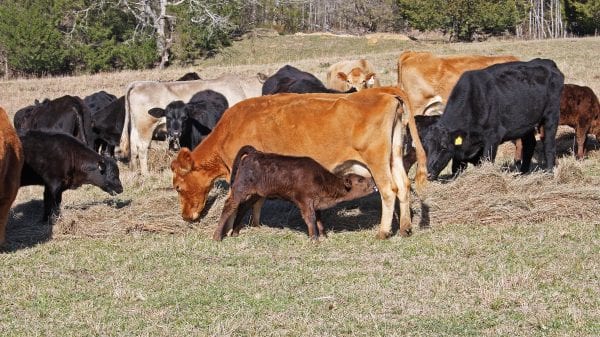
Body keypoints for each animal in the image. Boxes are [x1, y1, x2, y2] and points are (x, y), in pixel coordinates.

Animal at [118, 73, 264, 173]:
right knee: (142, 149)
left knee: (133, 147)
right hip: (146, 128)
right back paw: (146, 174)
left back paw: (135, 171)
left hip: (136, 129)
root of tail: (139, 83)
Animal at [171, 87, 428, 239]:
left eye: (178, 187)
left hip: (377, 162)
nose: (185, 217)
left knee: (389, 190)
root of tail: (383, 92)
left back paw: (383, 232)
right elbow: (259, 198)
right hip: (394, 157)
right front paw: (256, 223)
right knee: (403, 187)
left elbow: (241, 202)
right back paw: (405, 227)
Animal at [424, 58, 564, 181]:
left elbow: (487, 160)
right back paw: (522, 173)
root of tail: (547, 63)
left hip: (551, 115)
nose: (428, 174)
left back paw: (549, 172)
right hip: (526, 124)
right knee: (529, 145)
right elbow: (457, 168)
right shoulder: (461, 149)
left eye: (443, 147)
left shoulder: (493, 137)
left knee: (549, 144)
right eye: (426, 147)